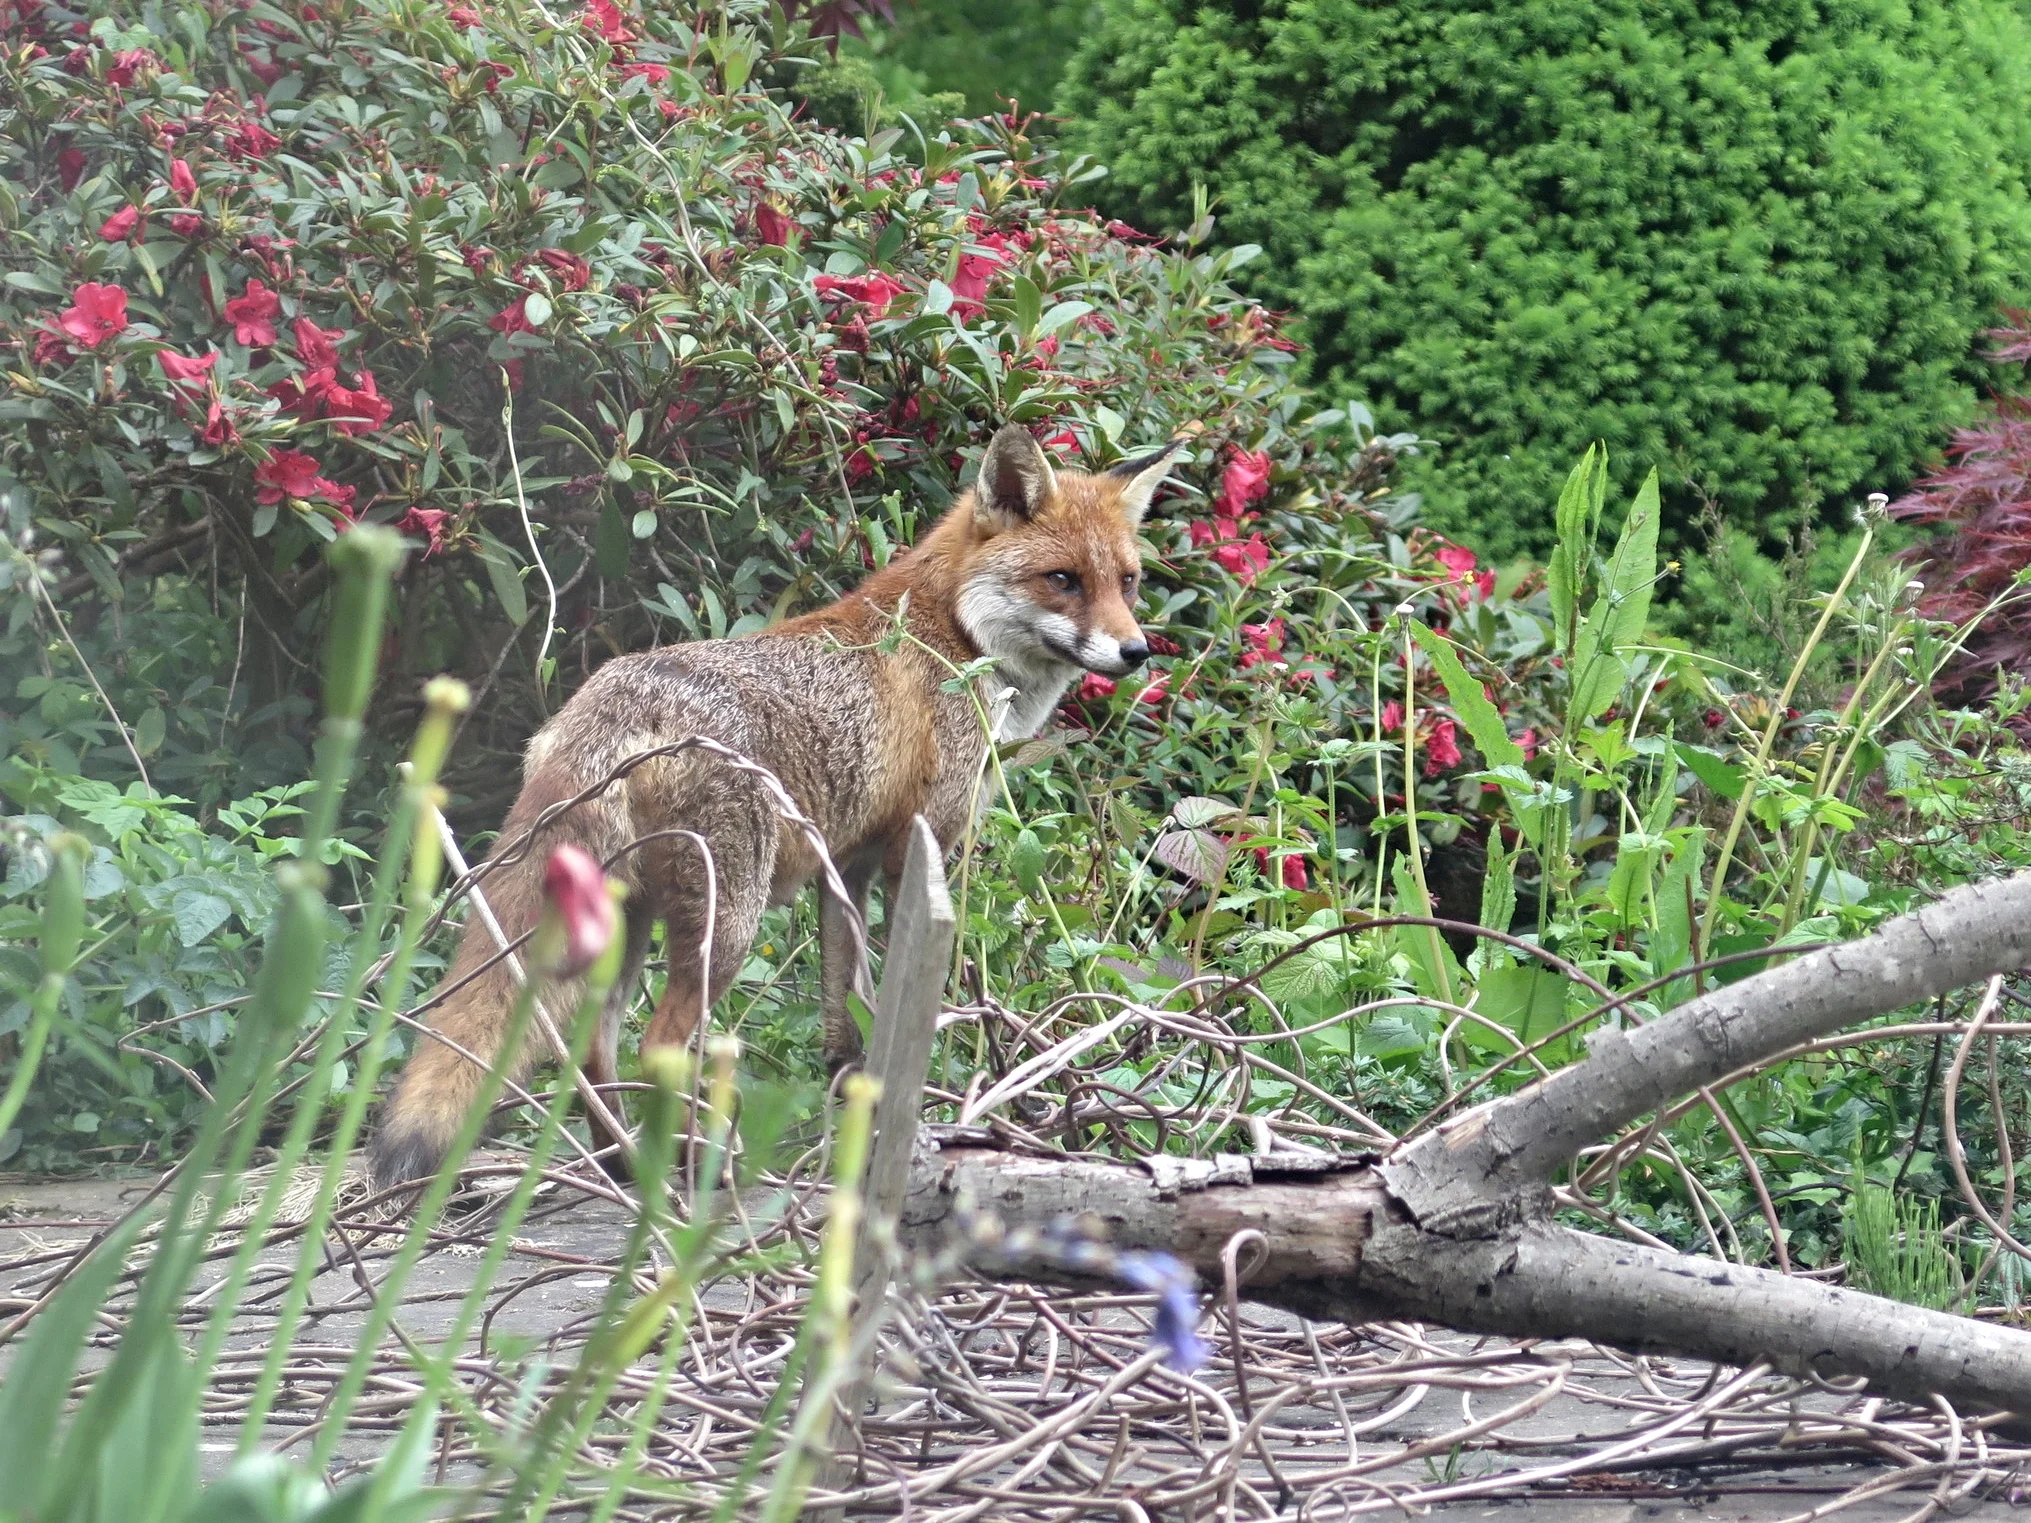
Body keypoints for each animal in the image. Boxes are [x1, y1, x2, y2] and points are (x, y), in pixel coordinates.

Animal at [367, 423, 1186, 1189]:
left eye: (1127, 581)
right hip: (727, 919)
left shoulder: (846, 868)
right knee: (656, 1046)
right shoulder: (915, 853)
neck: (954, 633)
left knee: (591, 1046)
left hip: (627, 918)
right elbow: (900, 1003)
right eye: (1063, 580)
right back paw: (688, 1169)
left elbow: (844, 1012)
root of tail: (606, 705)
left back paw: (624, 1165)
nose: (1136, 652)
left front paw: (851, 1109)